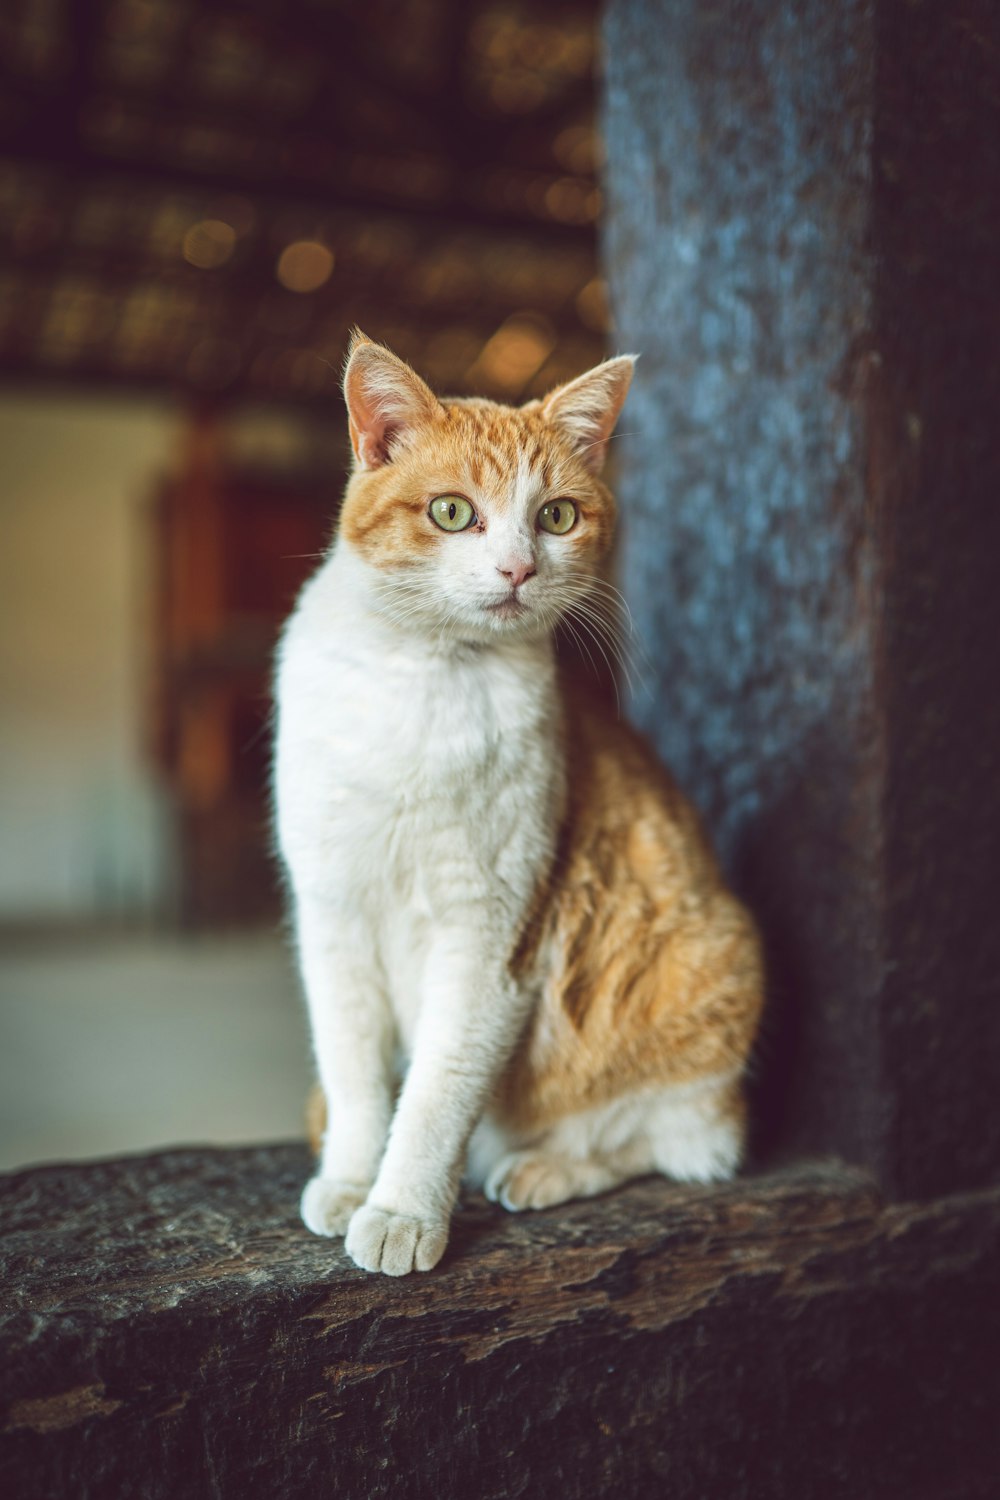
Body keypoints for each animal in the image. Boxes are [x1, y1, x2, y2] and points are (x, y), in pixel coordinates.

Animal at [269, 328, 761, 1278]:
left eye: (557, 518)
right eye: (451, 512)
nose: (518, 568)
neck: (424, 679)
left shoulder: (491, 937)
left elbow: (435, 1093)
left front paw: (401, 1211)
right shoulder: (331, 917)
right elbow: (354, 1076)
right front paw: (351, 1179)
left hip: (708, 979)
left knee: (670, 1146)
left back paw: (541, 1169)